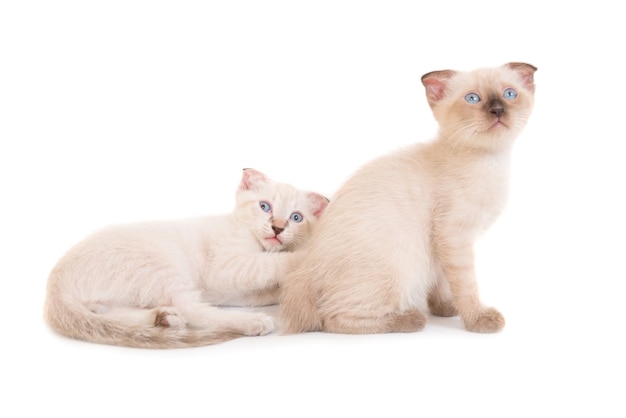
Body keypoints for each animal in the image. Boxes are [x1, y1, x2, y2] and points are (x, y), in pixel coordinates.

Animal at [44, 168, 326, 348]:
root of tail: (53, 287)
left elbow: (260, 291)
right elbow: (270, 264)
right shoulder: (225, 268)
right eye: (264, 206)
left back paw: (162, 318)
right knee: (193, 310)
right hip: (159, 265)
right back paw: (251, 321)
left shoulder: (227, 290)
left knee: (107, 313)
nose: (278, 228)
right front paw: (303, 257)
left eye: (296, 217)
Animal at [280, 62, 536, 334]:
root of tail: (308, 266)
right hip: (396, 273)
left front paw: (445, 308)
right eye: (472, 99)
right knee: (334, 319)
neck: (492, 160)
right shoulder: (454, 235)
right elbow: (465, 285)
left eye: (509, 94)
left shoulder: (442, 244)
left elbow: (442, 281)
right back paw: (410, 319)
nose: (498, 110)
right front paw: (477, 319)